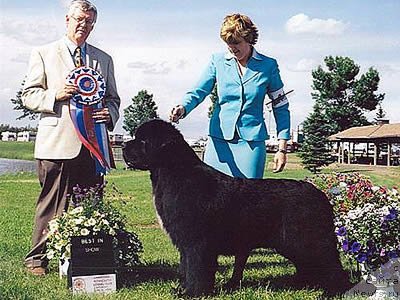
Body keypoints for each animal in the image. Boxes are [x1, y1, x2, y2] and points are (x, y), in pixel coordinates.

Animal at [123, 119, 348, 298]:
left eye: (142, 141)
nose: (124, 146)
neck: (173, 172)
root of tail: (319, 193)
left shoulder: (196, 242)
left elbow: (195, 269)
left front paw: (193, 293)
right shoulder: (185, 243)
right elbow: (185, 267)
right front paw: (181, 289)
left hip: (308, 240)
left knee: (330, 263)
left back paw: (333, 291)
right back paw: (304, 285)